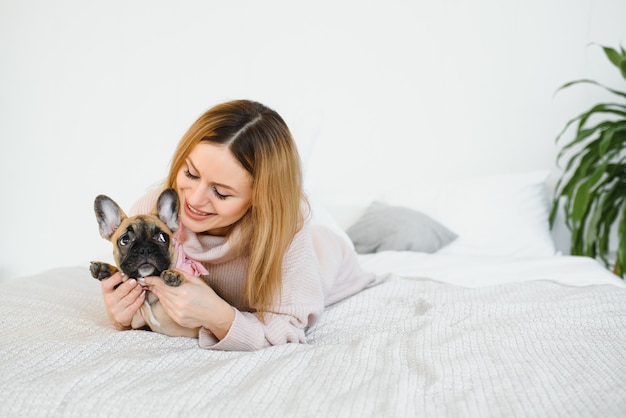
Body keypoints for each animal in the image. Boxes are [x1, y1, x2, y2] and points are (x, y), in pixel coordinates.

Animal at [88, 188, 199, 338]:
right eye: (124, 240)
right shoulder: (136, 321)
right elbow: (123, 277)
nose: (145, 249)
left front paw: (173, 275)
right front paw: (104, 269)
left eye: (162, 237)